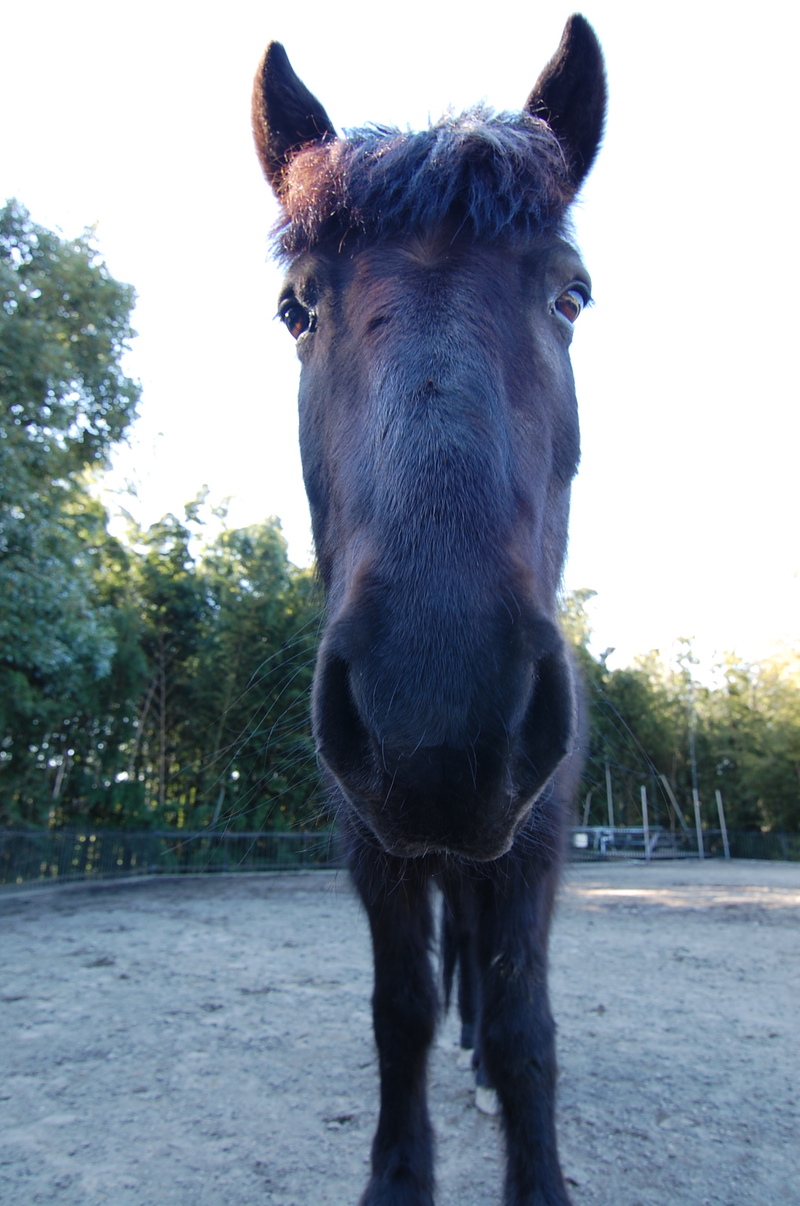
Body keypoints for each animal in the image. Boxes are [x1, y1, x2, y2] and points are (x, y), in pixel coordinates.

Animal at [253, 18, 603, 1206]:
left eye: (571, 296)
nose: (435, 712)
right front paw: (399, 1176)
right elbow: (399, 1011)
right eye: (296, 308)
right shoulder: (376, 847)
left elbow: (527, 1025)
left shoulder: (535, 842)